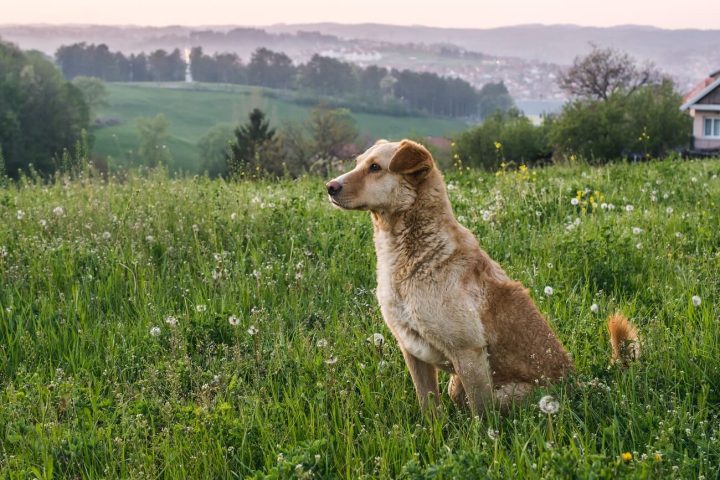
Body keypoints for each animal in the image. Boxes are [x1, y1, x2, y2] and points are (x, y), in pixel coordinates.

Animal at [324, 139, 636, 416]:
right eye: (358, 163)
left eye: (375, 167)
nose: (329, 186)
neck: (412, 254)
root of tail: (580, 384)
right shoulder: (411, 350)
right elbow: (429, 409)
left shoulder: (468, 353)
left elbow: (481, 420)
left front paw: (481, 443)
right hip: (456, 385)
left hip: (504, 392)